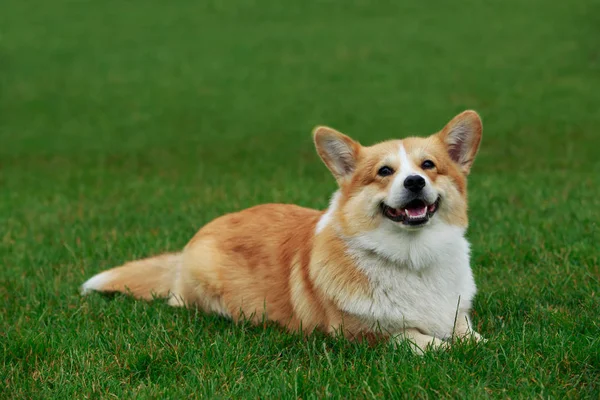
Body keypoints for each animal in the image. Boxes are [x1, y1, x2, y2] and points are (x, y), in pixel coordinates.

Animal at [81, 111, 482, 352]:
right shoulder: (359, 333)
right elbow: (417, 339)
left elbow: (471, 336)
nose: (414, 182)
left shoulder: (456, 313)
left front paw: (474, 342)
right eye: (385, 171)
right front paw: (447, 349)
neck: (413, 258)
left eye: (428, 165)